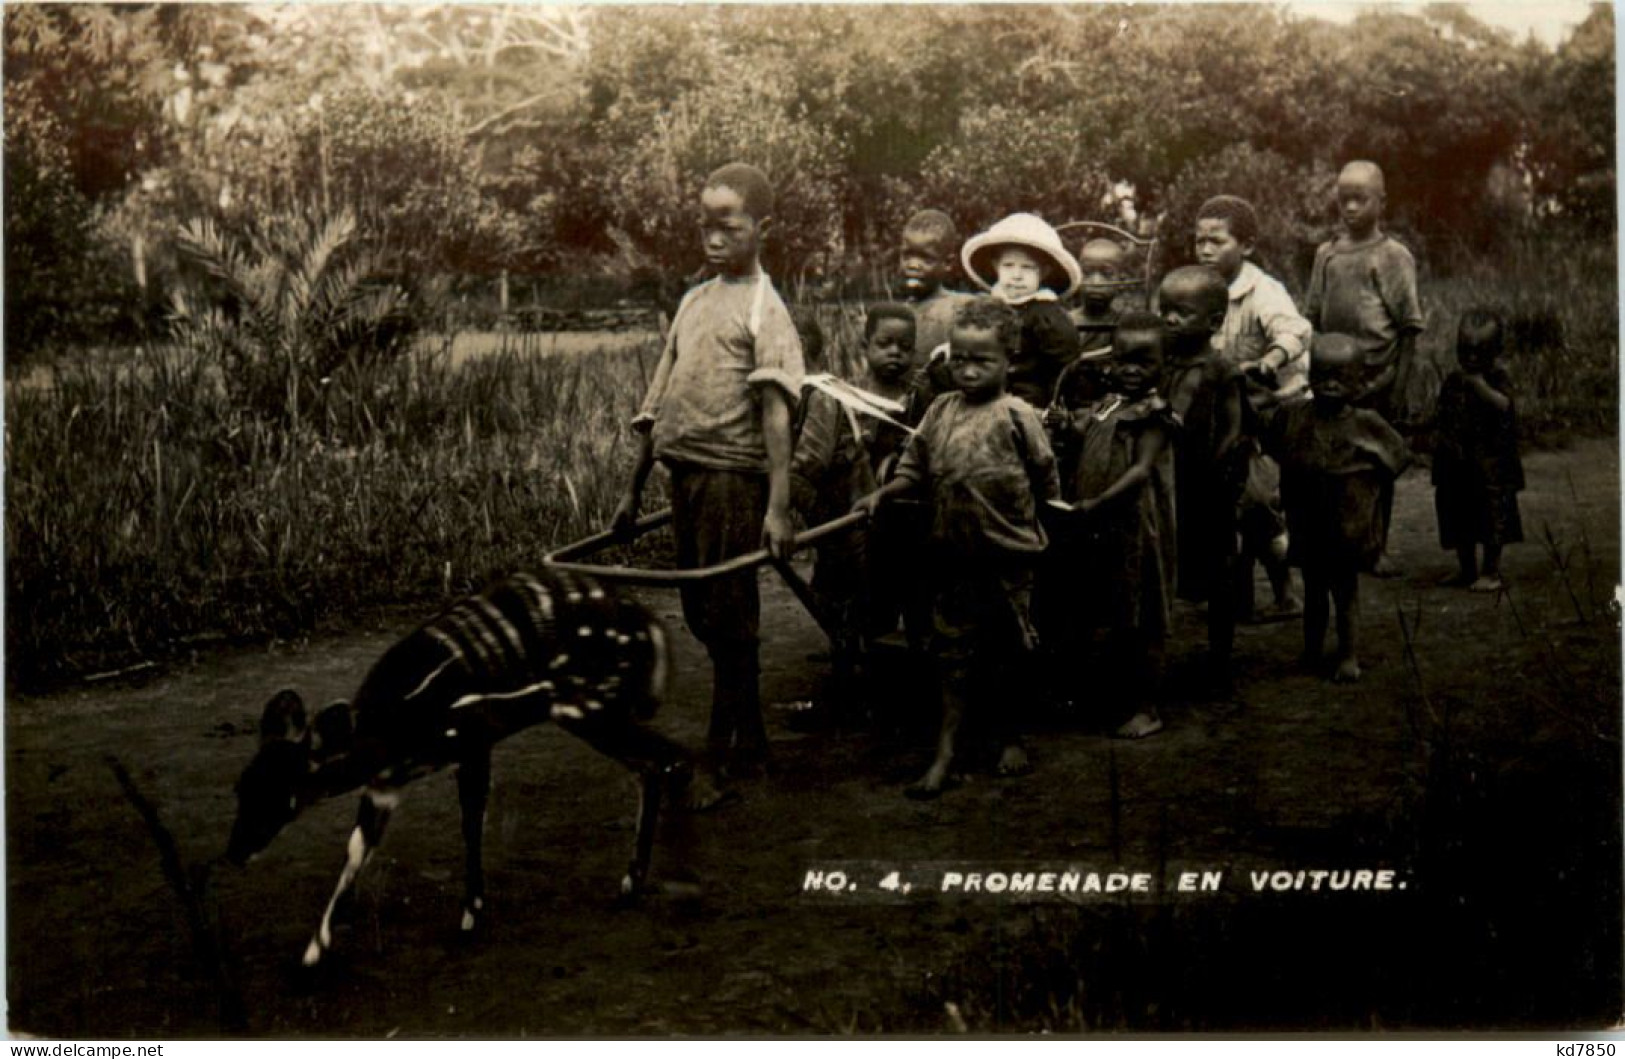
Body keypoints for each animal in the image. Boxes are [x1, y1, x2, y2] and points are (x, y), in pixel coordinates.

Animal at [227, 571, 685, 968]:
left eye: (279, 795)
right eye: (241, 788)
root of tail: (651, 626)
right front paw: (314, 951)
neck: (392, 725)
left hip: (587, 709)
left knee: (667, 756)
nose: (234, 853)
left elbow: (471, 821)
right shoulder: (385, 785)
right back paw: (632, 882)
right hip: (593, 711)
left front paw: (470, 916)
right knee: (653, 764)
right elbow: (358, 848)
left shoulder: (471, 740)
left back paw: (661, 880)